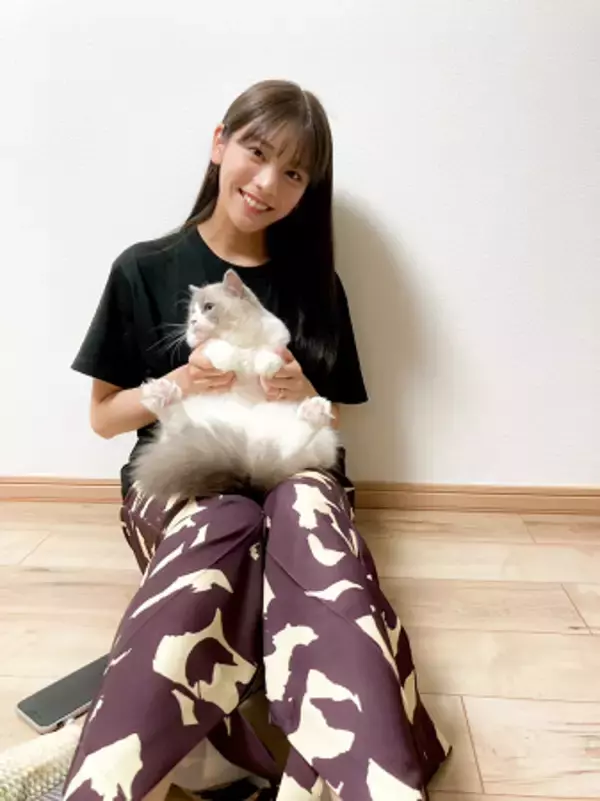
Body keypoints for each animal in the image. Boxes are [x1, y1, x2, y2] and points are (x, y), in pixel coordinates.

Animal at [131, 269, 339, 500]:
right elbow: (219, 347)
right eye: (191, 313)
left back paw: (314, 412)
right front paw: (231, 360)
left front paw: (265, 365)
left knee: (289, 452)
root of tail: (247, 460)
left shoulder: (278, 341)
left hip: (316, 437)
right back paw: (161, 395)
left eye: (208, 307)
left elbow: (266, 352)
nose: (193, 321)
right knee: (179, 426)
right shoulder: (208, 348)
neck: (240, 340)